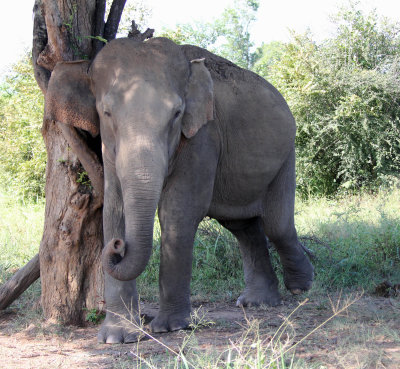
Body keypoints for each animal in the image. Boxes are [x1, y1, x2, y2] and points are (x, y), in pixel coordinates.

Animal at [43, 36, 312, 342]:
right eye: (106, 113)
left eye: (177, 114)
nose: (118, 246)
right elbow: (113, 208)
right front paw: (117, 337)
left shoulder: (203, 135)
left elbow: (178, 212)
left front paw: (170, 327)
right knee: (242, 225)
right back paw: (257, 302)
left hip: (287, 154)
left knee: (276, 225)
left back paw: (301, 287)